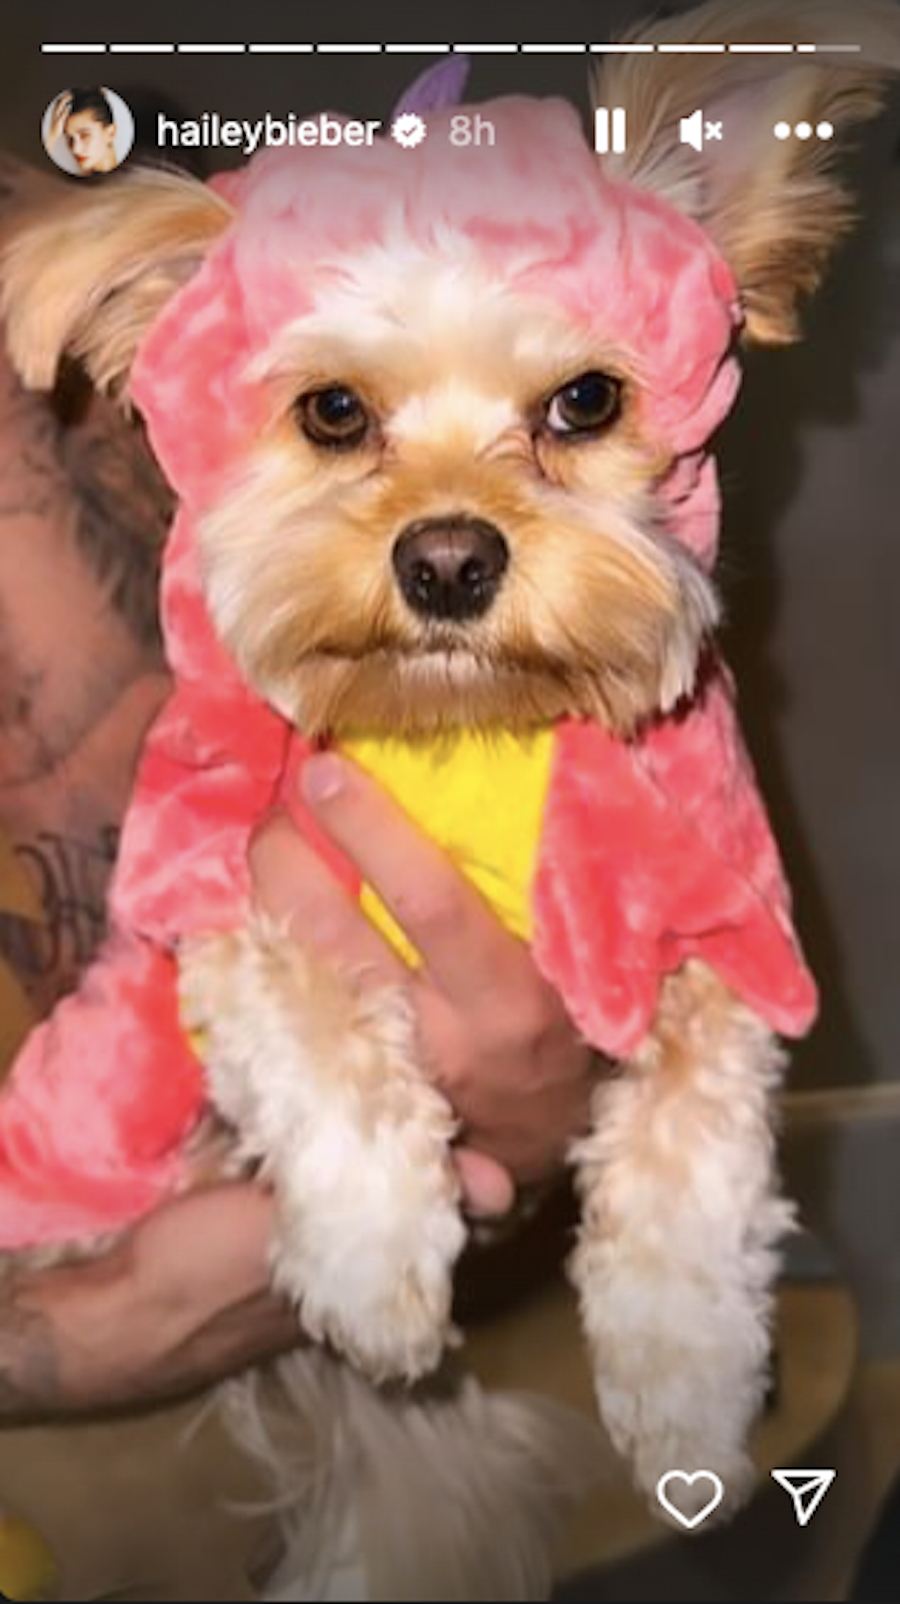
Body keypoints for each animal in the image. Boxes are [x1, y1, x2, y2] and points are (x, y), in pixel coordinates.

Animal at [5, 3, 898, 1604]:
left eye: (587, 401)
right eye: (332, 411)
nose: (448, 560)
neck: (466, 728)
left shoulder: (710, 917)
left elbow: (695, 1150)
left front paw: (689, 1391)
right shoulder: (228, 886)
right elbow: (318, 1050)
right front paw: (377, 1273)